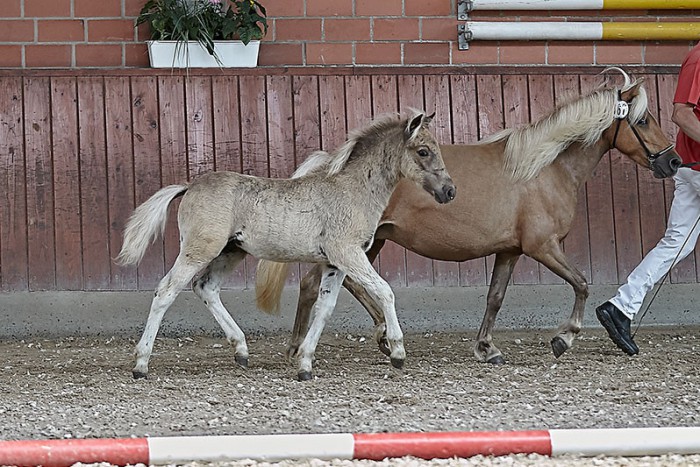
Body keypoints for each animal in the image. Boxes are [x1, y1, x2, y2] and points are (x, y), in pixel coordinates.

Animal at [116, 111, 456, 381]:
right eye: (423, 151)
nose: (449, 191)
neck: (351, 190)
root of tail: (189, 186)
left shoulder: (334, 263)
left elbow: (325, 307)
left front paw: (305, 364)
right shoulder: (348, 253)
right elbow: (385, 291)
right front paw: (397, 352)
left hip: (230, 252)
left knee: (206, 287)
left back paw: (241, 350)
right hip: (199, 250)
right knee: (166, 291)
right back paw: (141, 364)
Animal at [256, 70, 682, 367]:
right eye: (643, 120)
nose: (674, 161)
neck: (543, 168)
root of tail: (333, 160)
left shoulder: (511, 250)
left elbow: (495, 298)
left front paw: (486, 348)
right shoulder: (543, 246)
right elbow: (582, 283)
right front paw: (564, 338)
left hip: (368, 243)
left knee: (345, 285)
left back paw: (375, 337)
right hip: (354, 243)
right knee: (317, 284)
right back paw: (305, 346)